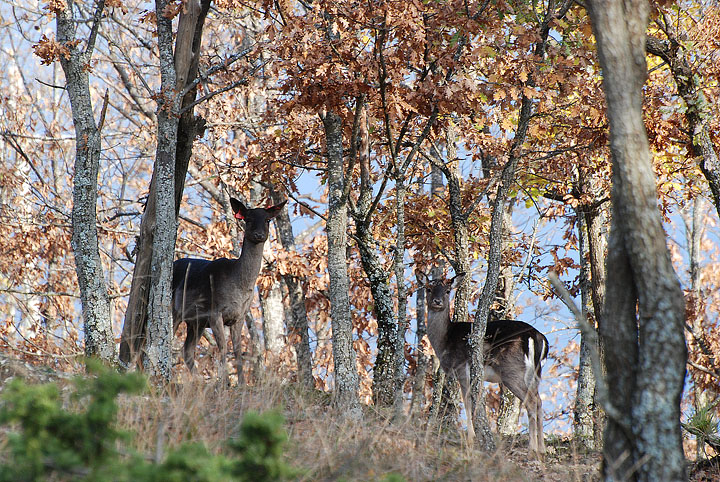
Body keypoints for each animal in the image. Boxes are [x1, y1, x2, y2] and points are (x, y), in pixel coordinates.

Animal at [172, 197, 286, 380]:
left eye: (268, 220)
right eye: (248, 219)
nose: (259, 235)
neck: (239, 289)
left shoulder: (239, 316)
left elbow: (238, 350)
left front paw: (241, 382)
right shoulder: (215, 312)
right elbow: (223, 348)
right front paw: (224, 382)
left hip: (196, 322)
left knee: (187, 351)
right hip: (174, 309)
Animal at [416, 272, 544, 456]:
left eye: (448, 290)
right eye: (428, 288)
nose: (437, 301)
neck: (445, 341)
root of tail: (536, 337)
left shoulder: (461, 368)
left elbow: (468, 402)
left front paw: (471, 437)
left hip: (512, 371)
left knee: (531, 401)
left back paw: (532, 448)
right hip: (535, 374)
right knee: (539, 401)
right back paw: (542, 448)